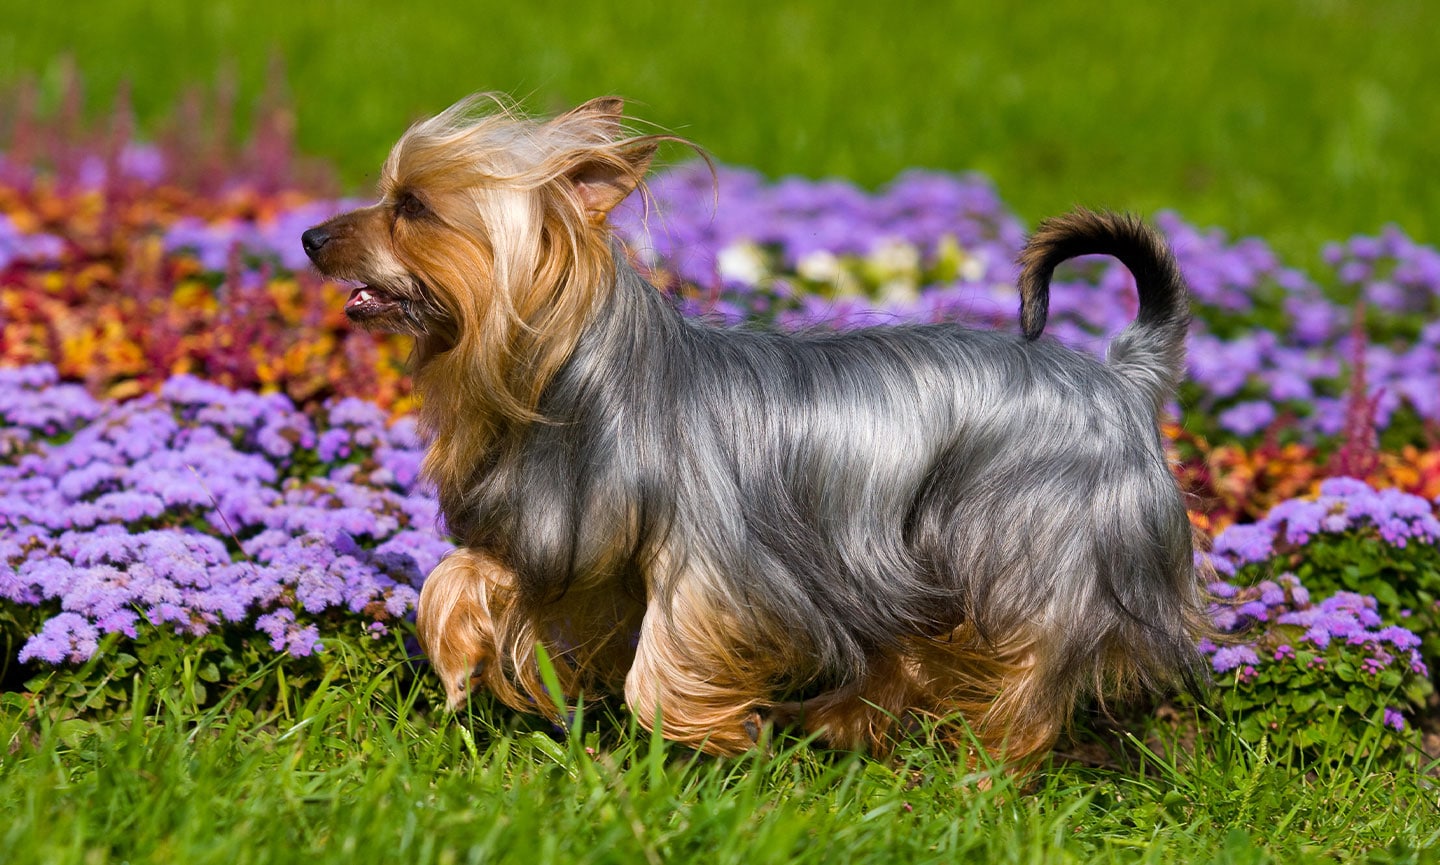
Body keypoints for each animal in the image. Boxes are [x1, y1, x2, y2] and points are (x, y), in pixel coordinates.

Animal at [300, 96, 1203, 771]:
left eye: (412, 207)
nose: (309, 236)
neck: (564, 379)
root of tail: (1123, 378)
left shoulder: (714, 558)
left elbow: (661, 665)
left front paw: (720, 737)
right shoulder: (570, 533)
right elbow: (459, 575)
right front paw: (458, 665)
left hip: (1032, 548)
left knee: (1031, 670)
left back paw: (984, 771)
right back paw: (841, 724)